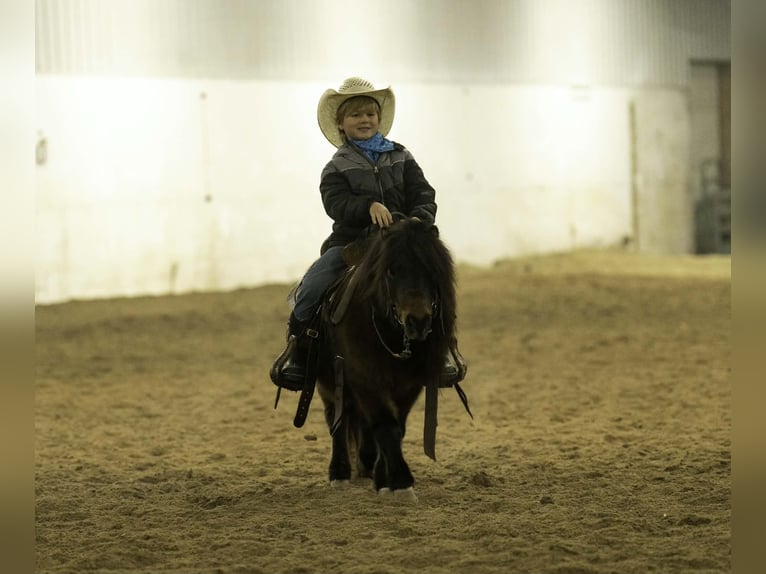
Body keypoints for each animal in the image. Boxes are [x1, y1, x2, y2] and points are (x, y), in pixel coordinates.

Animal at [307, 217, 468, 501]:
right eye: (392, 271)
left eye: (432, 270)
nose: (418, 321)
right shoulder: (365, 377)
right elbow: (385, 426)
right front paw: (402, 484)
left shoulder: (410, 384)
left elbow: (397, 427)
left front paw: (384, 479)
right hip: (328, 382)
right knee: (337, 418)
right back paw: (339, 473)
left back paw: (366, 464)